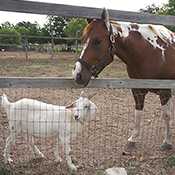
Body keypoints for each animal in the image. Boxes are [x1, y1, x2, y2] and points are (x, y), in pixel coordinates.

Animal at [71, 8, 175, 150]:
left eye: (97, 41)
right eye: (83, 39)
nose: (77, 74)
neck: (153, 54)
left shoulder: (165, 91)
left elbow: (166, 115)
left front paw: (167, 141)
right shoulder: (137, 90)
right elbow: (138, 113)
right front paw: (132, 139)